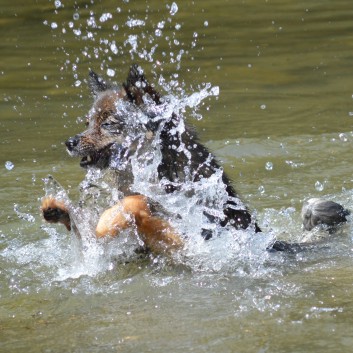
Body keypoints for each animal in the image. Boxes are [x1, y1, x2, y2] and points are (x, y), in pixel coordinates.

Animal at [41, 64, 346, 254]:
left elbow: (133, 204)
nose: (69, 142)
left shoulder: (192, 237)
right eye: (88, 122)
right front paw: (58, 207)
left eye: (107, 124)